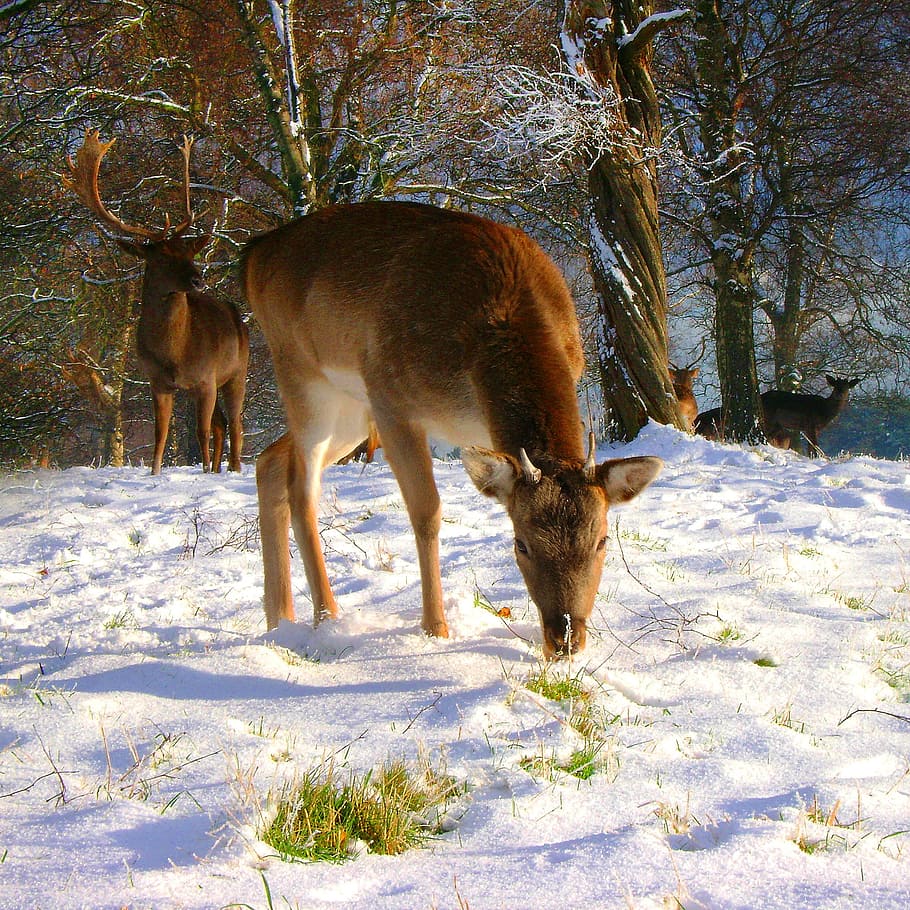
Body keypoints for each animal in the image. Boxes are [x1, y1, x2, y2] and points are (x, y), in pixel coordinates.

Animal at [63, 129, 249, 475]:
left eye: (190, 252)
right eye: (161, 256)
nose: (198, 279)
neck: (174, 351)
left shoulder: (206, 377)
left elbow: (201, 431)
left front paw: (203, 469)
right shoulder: (157, 380)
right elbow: (160, 431)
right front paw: (156, 472)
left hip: (236, 371)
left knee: (234, 423)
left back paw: (231, 468)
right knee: (221, 424)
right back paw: (219, 468)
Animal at [243, 201, 663, 660]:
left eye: (602, 540)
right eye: (520, 543)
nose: (565, 639)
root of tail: (254, 253)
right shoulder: (391, 398)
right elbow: (427, 512)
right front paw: (435, 630)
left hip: (349, 407)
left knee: (269, 461)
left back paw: (279, 621)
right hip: (303, 375)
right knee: (302, 489)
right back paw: (327, 619)